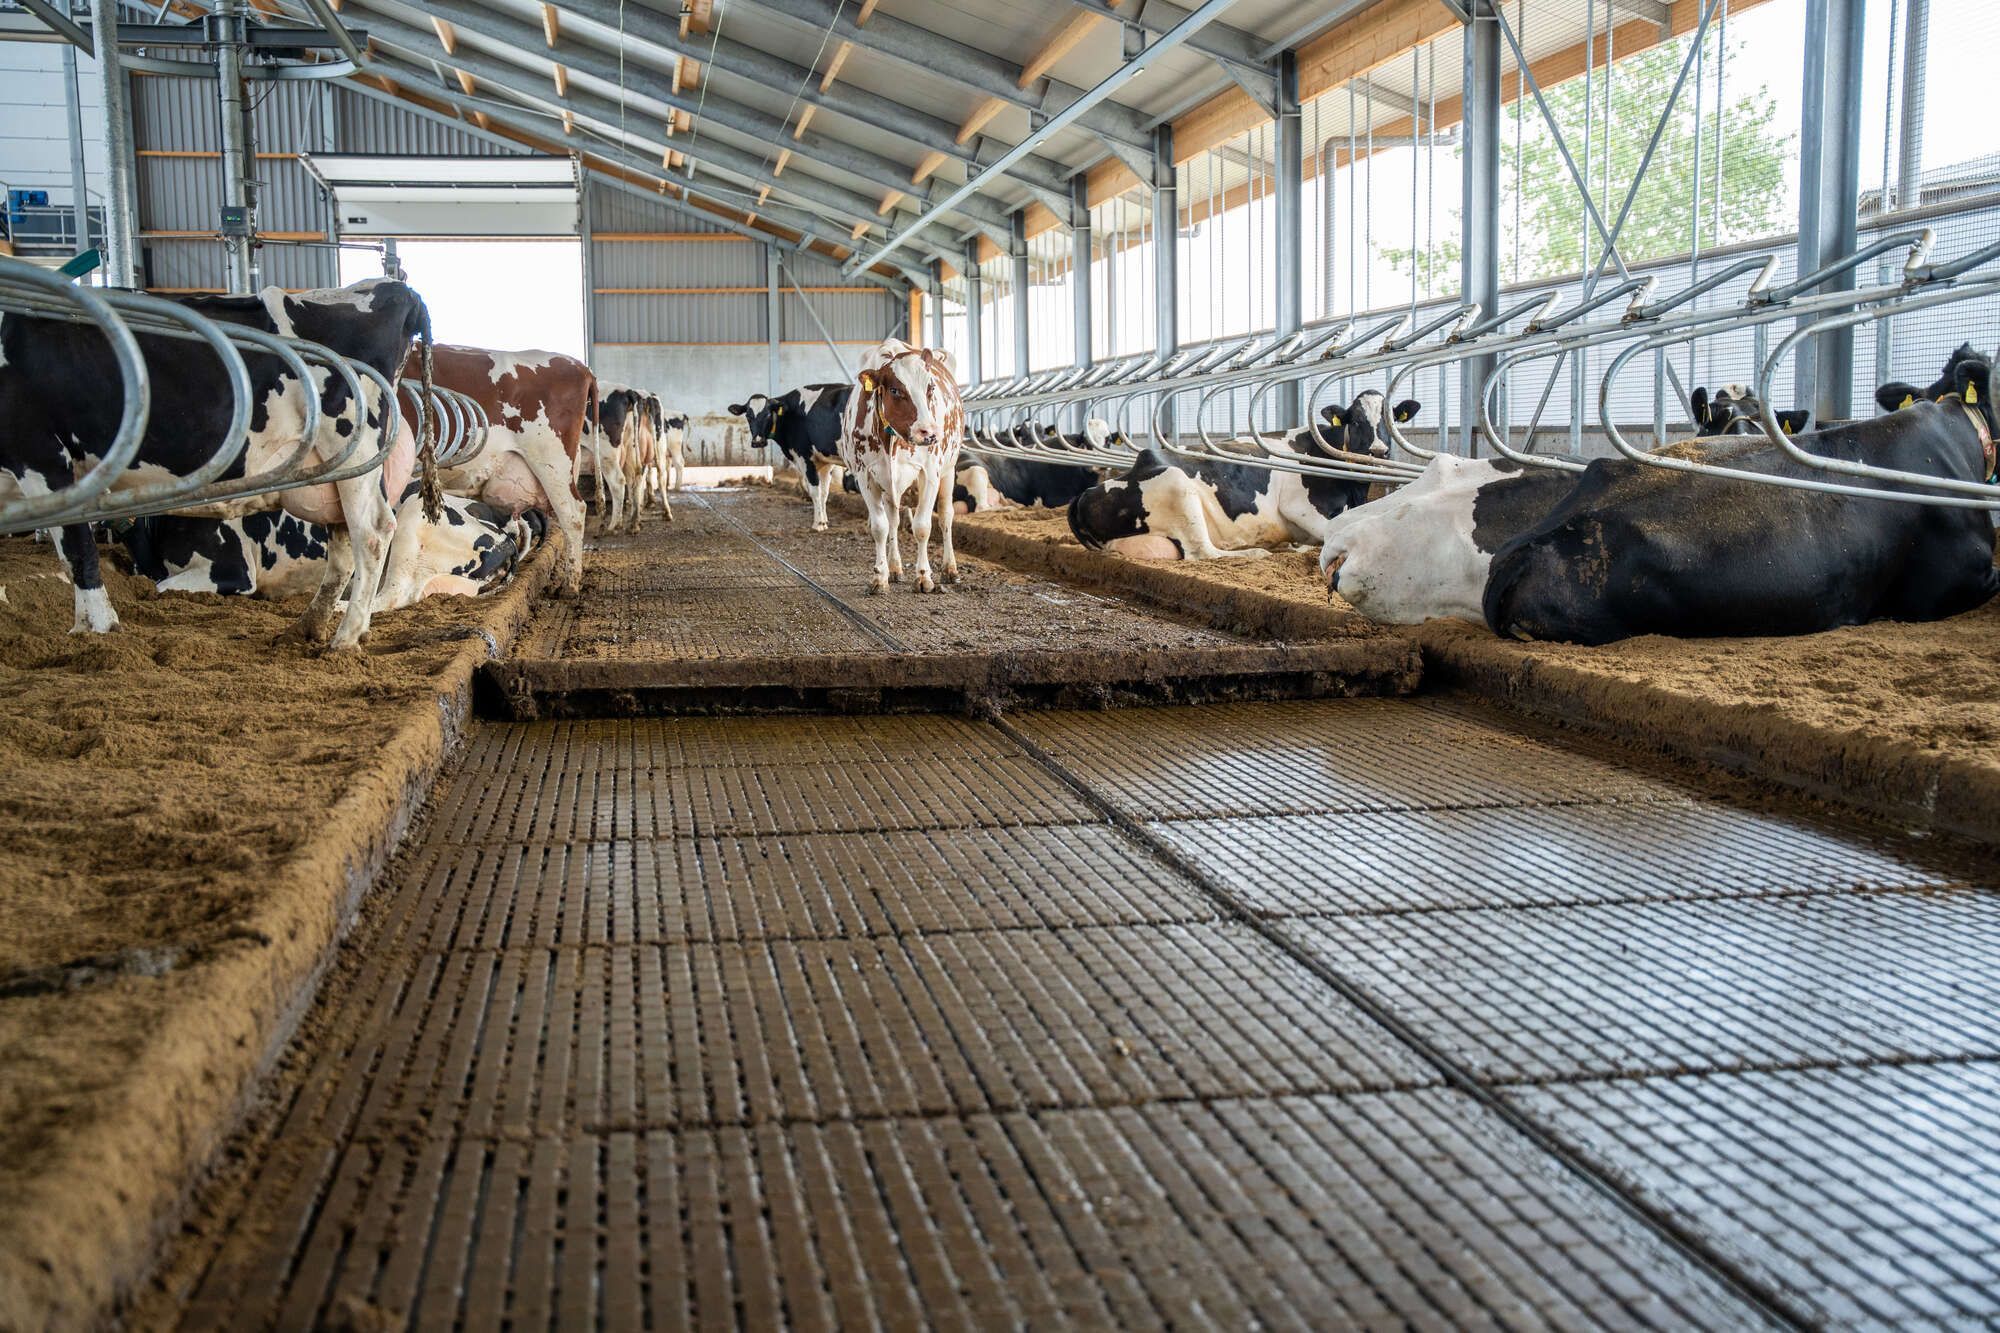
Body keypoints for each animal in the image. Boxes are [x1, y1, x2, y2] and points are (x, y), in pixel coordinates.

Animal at [0, 277, 430, 650]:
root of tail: (395, 288)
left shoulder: (38, 451)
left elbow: (77, 549)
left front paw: (95, 631)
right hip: (332, 472)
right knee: (341, 541)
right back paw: (307, 627)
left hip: (354, 450)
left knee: (371, 533)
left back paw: (346, 638)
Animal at [729, 385, 852, 530]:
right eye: (748, 416)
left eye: (768, 414)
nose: (758, 441)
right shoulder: (825, 461)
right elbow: (824, 492)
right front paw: (824, 521)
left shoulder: (805, 456)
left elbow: (814, 491)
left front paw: (818, 524)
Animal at [839, 339, 963, 594]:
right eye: (895, 390)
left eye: (931, 388)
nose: (929, 432)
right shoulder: (865, 475)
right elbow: (880, 527)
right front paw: (880, 577)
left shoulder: (930, 473)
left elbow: (922, 526)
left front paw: (924, 577)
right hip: (889, 484)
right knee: (894, 520)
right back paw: (895, 568)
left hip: (949, 468)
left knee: (946, 516)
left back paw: (950, 569)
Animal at [1067, 391, 1418, 560]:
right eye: (1355, 420)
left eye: (1390, 421)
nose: (1378, 451)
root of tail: (1083, 496)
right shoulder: (1298, 506)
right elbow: (1333, 531)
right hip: (1177, 484)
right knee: (1202, 553)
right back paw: (1258, 551)